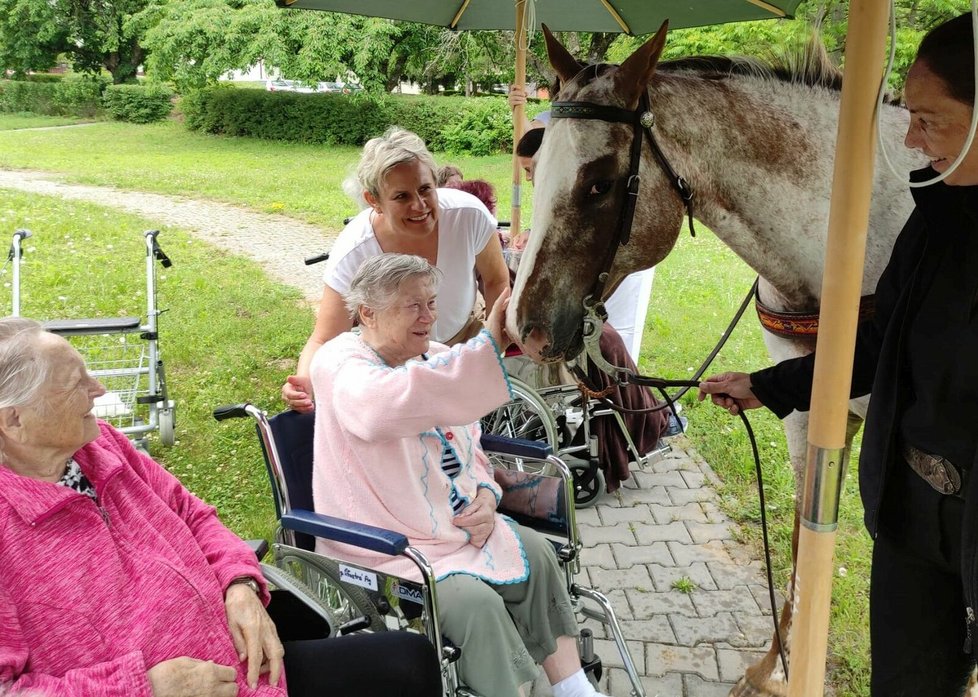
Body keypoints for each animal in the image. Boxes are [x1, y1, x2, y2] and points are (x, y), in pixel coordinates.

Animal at [508, 21, 928, 696]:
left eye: (600, 183)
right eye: (537, 163)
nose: (525, 327)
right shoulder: (807, 409)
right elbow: (801, 537)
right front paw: (773, 668)